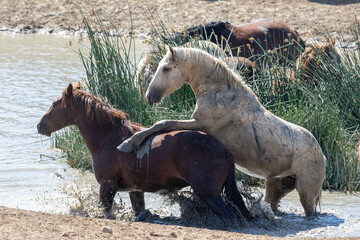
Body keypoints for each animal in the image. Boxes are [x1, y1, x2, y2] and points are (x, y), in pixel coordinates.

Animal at [36, 83, 252, 226]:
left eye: (55, 104)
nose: (40, 125)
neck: (110, 138)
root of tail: (221, 148)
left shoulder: (107, 185)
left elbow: (107, 211)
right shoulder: (135, 191)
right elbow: (139, 210)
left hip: (209, 193)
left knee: (229, 216)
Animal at [118, 46, 326, 217]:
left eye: (166, 68)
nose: (149, 96)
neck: (219, 92)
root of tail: (321, 154)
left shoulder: (199, 124)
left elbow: (162, 123)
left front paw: (128, 143)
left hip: (306, 192)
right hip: (277, 185)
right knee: (273, 203)